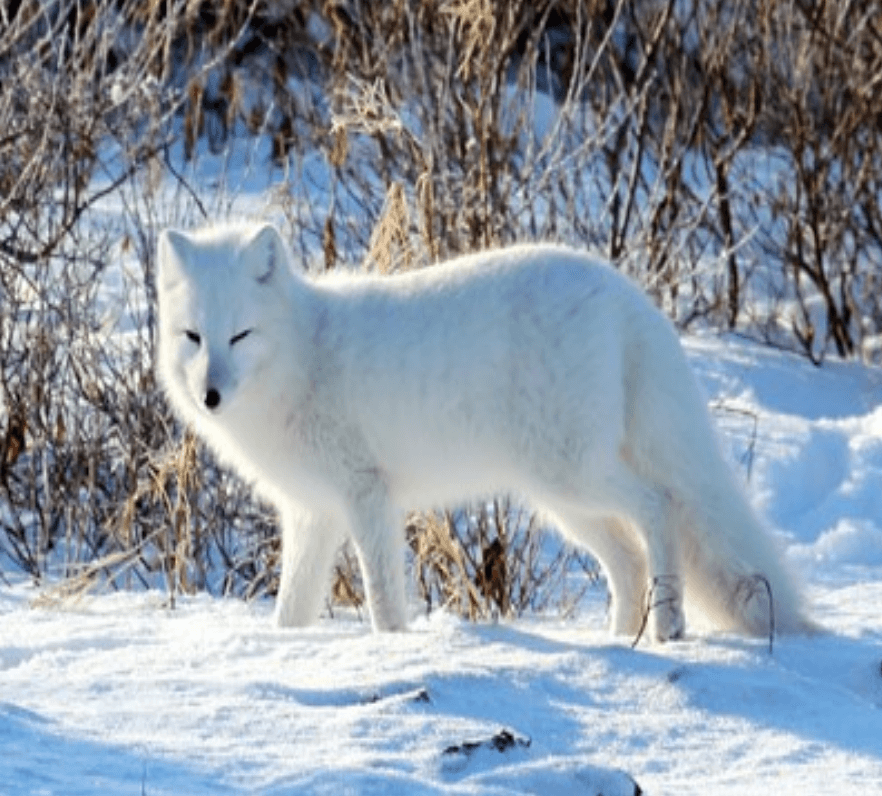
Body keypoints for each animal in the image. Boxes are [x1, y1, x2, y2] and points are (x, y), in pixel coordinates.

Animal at [158, 221, 812, 644]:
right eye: (194, 337)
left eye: (240, 335)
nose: (210, 396)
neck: (303, 355)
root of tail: (627, 297)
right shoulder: (313, 512)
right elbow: (291, 609)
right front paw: (281, 652)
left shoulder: (367, 495)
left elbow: (381, 595)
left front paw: (391, 648)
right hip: (562, 500)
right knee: (627, 556)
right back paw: (617, 639)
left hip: (573, 476)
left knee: (661, 505)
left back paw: (669, 625)